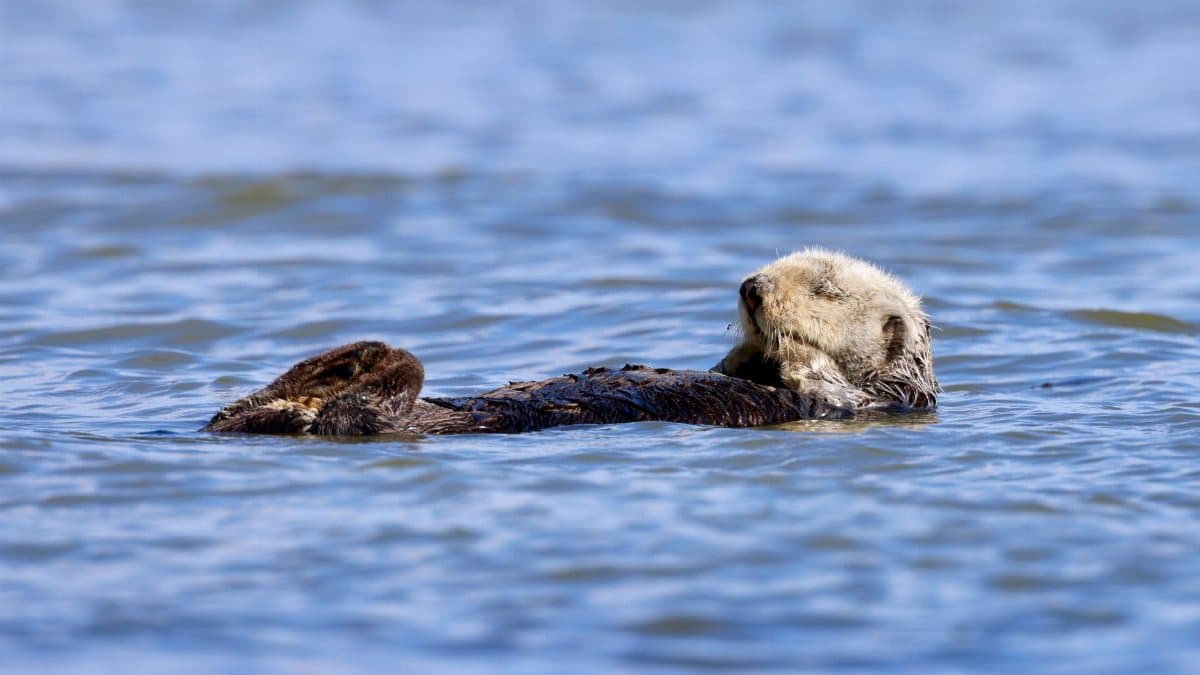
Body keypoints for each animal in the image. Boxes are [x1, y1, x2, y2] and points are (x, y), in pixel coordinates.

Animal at [202, 249, 938, 435]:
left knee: (357, 412)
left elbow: (821, 383)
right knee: (239, 414)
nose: (751, 287)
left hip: (377, 416)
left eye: (825, 287)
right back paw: (342, 362)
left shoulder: (865, 399)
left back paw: (370, 360)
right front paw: (741, 351)